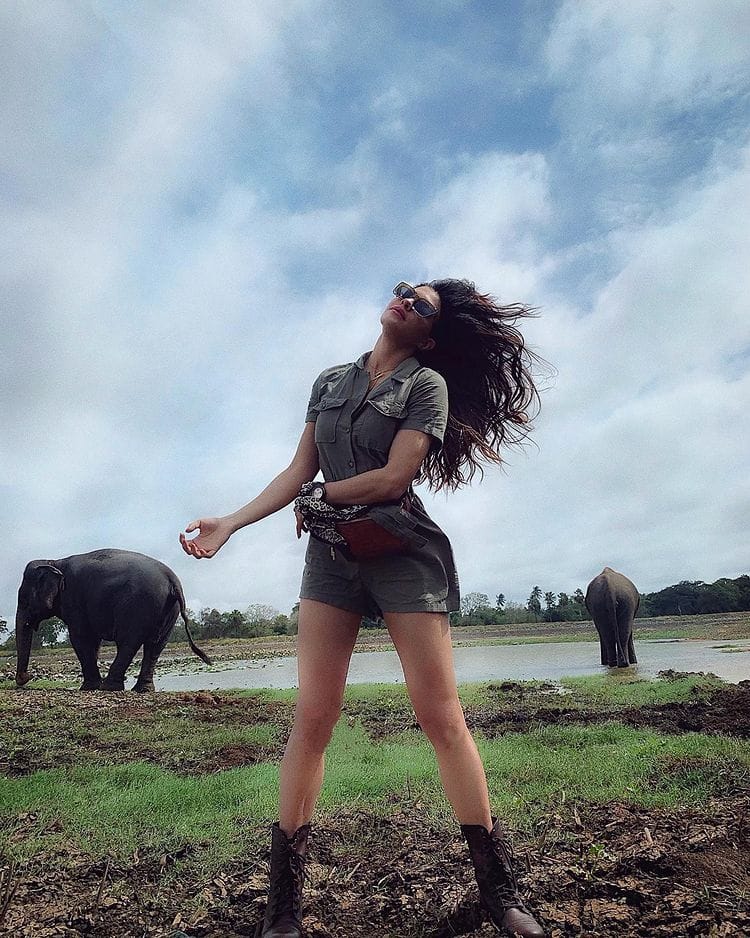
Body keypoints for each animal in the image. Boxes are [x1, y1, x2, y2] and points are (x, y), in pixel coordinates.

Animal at [13, 544, 212, 692]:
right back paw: (142, 690)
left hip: (139, 605)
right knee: (155, 645)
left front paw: (87, 688)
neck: (54, 561)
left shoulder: (73, 599)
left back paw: (110, 687)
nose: (27, 677)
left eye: (24, 599)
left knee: (129, 642)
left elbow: (80, 638)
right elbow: (93, 641)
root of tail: (172, 580)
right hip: (169, 610)